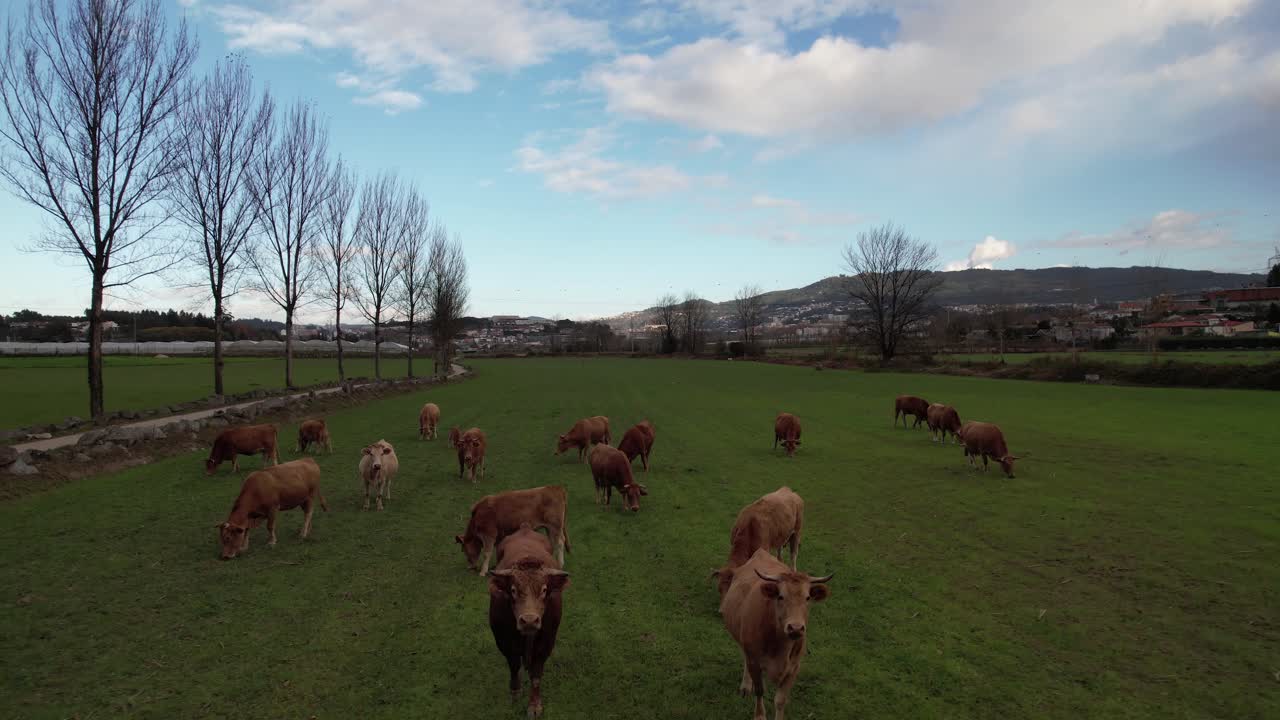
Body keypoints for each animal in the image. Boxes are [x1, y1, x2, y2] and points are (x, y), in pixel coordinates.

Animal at [487, 525, 570, 719]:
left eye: (544, 589)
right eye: (513, 590)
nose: (529, 620)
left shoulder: (546, 641)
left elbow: (536, 674)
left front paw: (534, 705)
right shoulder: (503, 640)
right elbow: (513, 664)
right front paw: (515, 691)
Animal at [720, 548, 833, 720]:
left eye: (807, 598)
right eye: (780, 596)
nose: (795, 628)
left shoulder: (794, 668)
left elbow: (780, 700)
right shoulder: (755, 661)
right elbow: (759, 690)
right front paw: (759, 715)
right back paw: (745, 685)